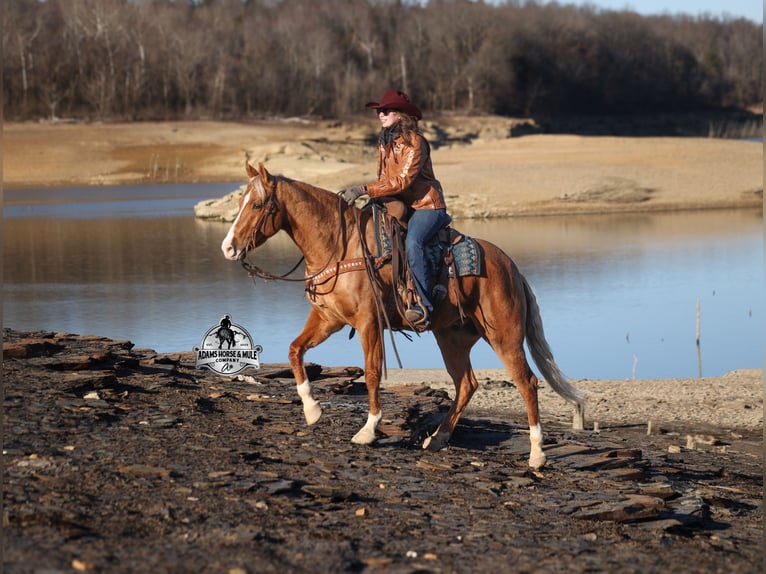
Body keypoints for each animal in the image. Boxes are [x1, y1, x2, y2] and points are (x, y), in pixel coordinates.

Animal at [221, 163, 585, 468]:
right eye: (240, 202)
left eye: (257, 205)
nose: (227, 247)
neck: (341, 245)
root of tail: (511, 268)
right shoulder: (328, 319)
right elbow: (295, 350)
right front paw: (312, 410)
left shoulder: (368, 323)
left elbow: (371, 373)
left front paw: (368, 430)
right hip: (452, 338)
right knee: (466, 383)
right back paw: (437, 439)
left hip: (504, 336)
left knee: (527, 383)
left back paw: (537, 455)